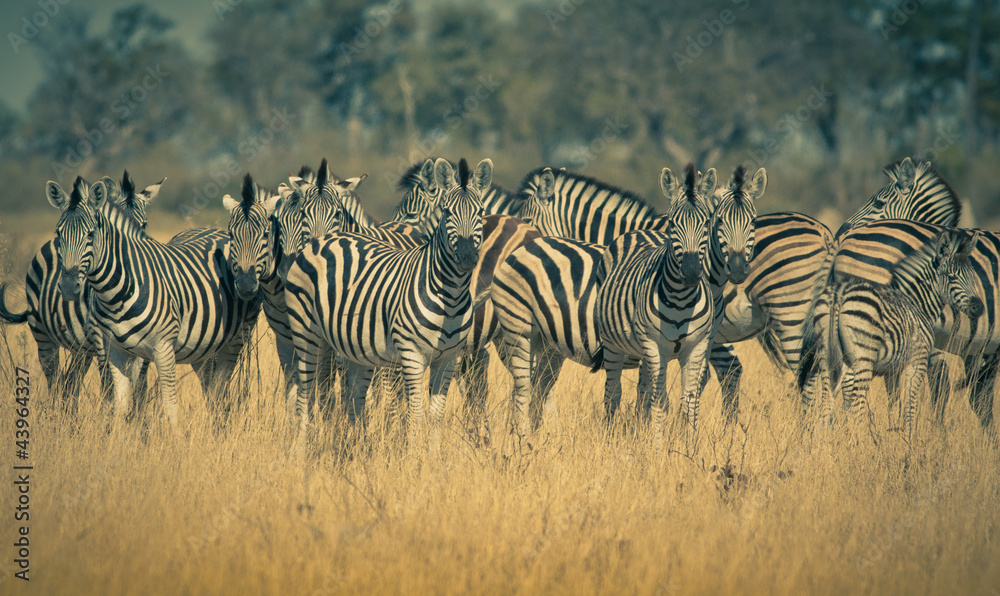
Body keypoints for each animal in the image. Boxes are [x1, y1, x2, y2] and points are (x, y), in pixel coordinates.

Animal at [0, 172, 163, 408]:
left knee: (71, 382)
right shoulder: (101, 335)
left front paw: (138, 417)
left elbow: (139, 384)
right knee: (54, 380)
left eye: (144, 224)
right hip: (42, 334)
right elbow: (109, 382)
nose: (69, 286)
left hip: (81, 349)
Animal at [48, 177, 261, 428]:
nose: (68, 286)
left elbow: (168, 404)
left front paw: (171, 437)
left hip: (236, 338)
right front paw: (117, 435)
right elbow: (119, 402)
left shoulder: (162, 347)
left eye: (90, 235)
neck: (116, 291)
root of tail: (215, 231)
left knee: (220, 387)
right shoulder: (113, 349)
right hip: (204, 345)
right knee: (211, 388)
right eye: (58, 234)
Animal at [284, 158, 491, 449]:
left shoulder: (449, 358)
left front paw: (434, 458)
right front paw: (414, 456)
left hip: (352, 345)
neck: (450, 295)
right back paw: (302, 449)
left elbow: (436, 416)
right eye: (447, 212)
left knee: (354, 395)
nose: (467, 257)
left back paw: (355, 446)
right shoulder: (412, 354)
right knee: (307, 391)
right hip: (306, 333)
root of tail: (322, 241)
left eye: (480, 212)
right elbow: (415, 415)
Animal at [594, 165, 717, 445]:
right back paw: (609, 435)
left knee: (641, 392)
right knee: (612, 393)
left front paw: (690, 447)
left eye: (706, 222)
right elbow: (660, 400)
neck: (682, 300)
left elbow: (689, 401)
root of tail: (640, 230)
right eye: (672, 223)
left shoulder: (697, 345)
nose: (691, 272)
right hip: (613, 344)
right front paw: (657, 447)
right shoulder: (654, 344)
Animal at [797, 228, 983, 438]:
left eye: (972, 276)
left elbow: (895, 405)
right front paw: (909, 440)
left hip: (827, 355)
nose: (979, 307)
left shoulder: (892, 370)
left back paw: (822, 442)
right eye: (951, 277)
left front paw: (893, 436)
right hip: (863, 358)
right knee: (856, 405)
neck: (916, 303)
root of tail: (840, 292)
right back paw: (857, 442)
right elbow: (910, 406)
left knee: (827, 401)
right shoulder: (917, 361)